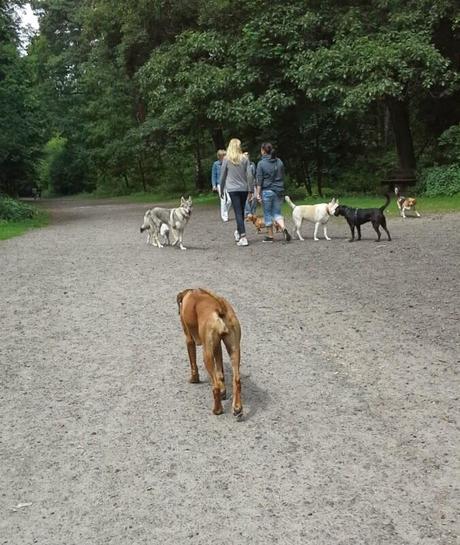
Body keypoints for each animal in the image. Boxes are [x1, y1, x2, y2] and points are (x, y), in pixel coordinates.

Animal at [176, 288, 243, 416]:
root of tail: (220, 309)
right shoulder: (217, 346)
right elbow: (220, 372)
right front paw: (223, 391)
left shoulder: (189, 339)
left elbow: (193, 363)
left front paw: (194, 379)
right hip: (234, 350)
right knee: (236, 380)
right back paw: (237, 407)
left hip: (207, 355)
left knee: (215, 386)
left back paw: (217, 410)